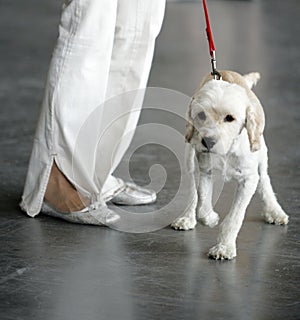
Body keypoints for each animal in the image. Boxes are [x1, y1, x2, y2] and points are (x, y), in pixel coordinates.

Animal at [172, 70, 290, 260]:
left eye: (230, 118)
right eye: (201, 115)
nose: (208, 141)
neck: (227, 150)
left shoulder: (248, 180)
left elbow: (235, 216)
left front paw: (224, 247)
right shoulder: (205, 170)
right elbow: (202, 202)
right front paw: (210, 218)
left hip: (261, 152)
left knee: (264, 179)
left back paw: (274, 211)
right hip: (189, 155)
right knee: (192, 190)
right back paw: (187, 218)